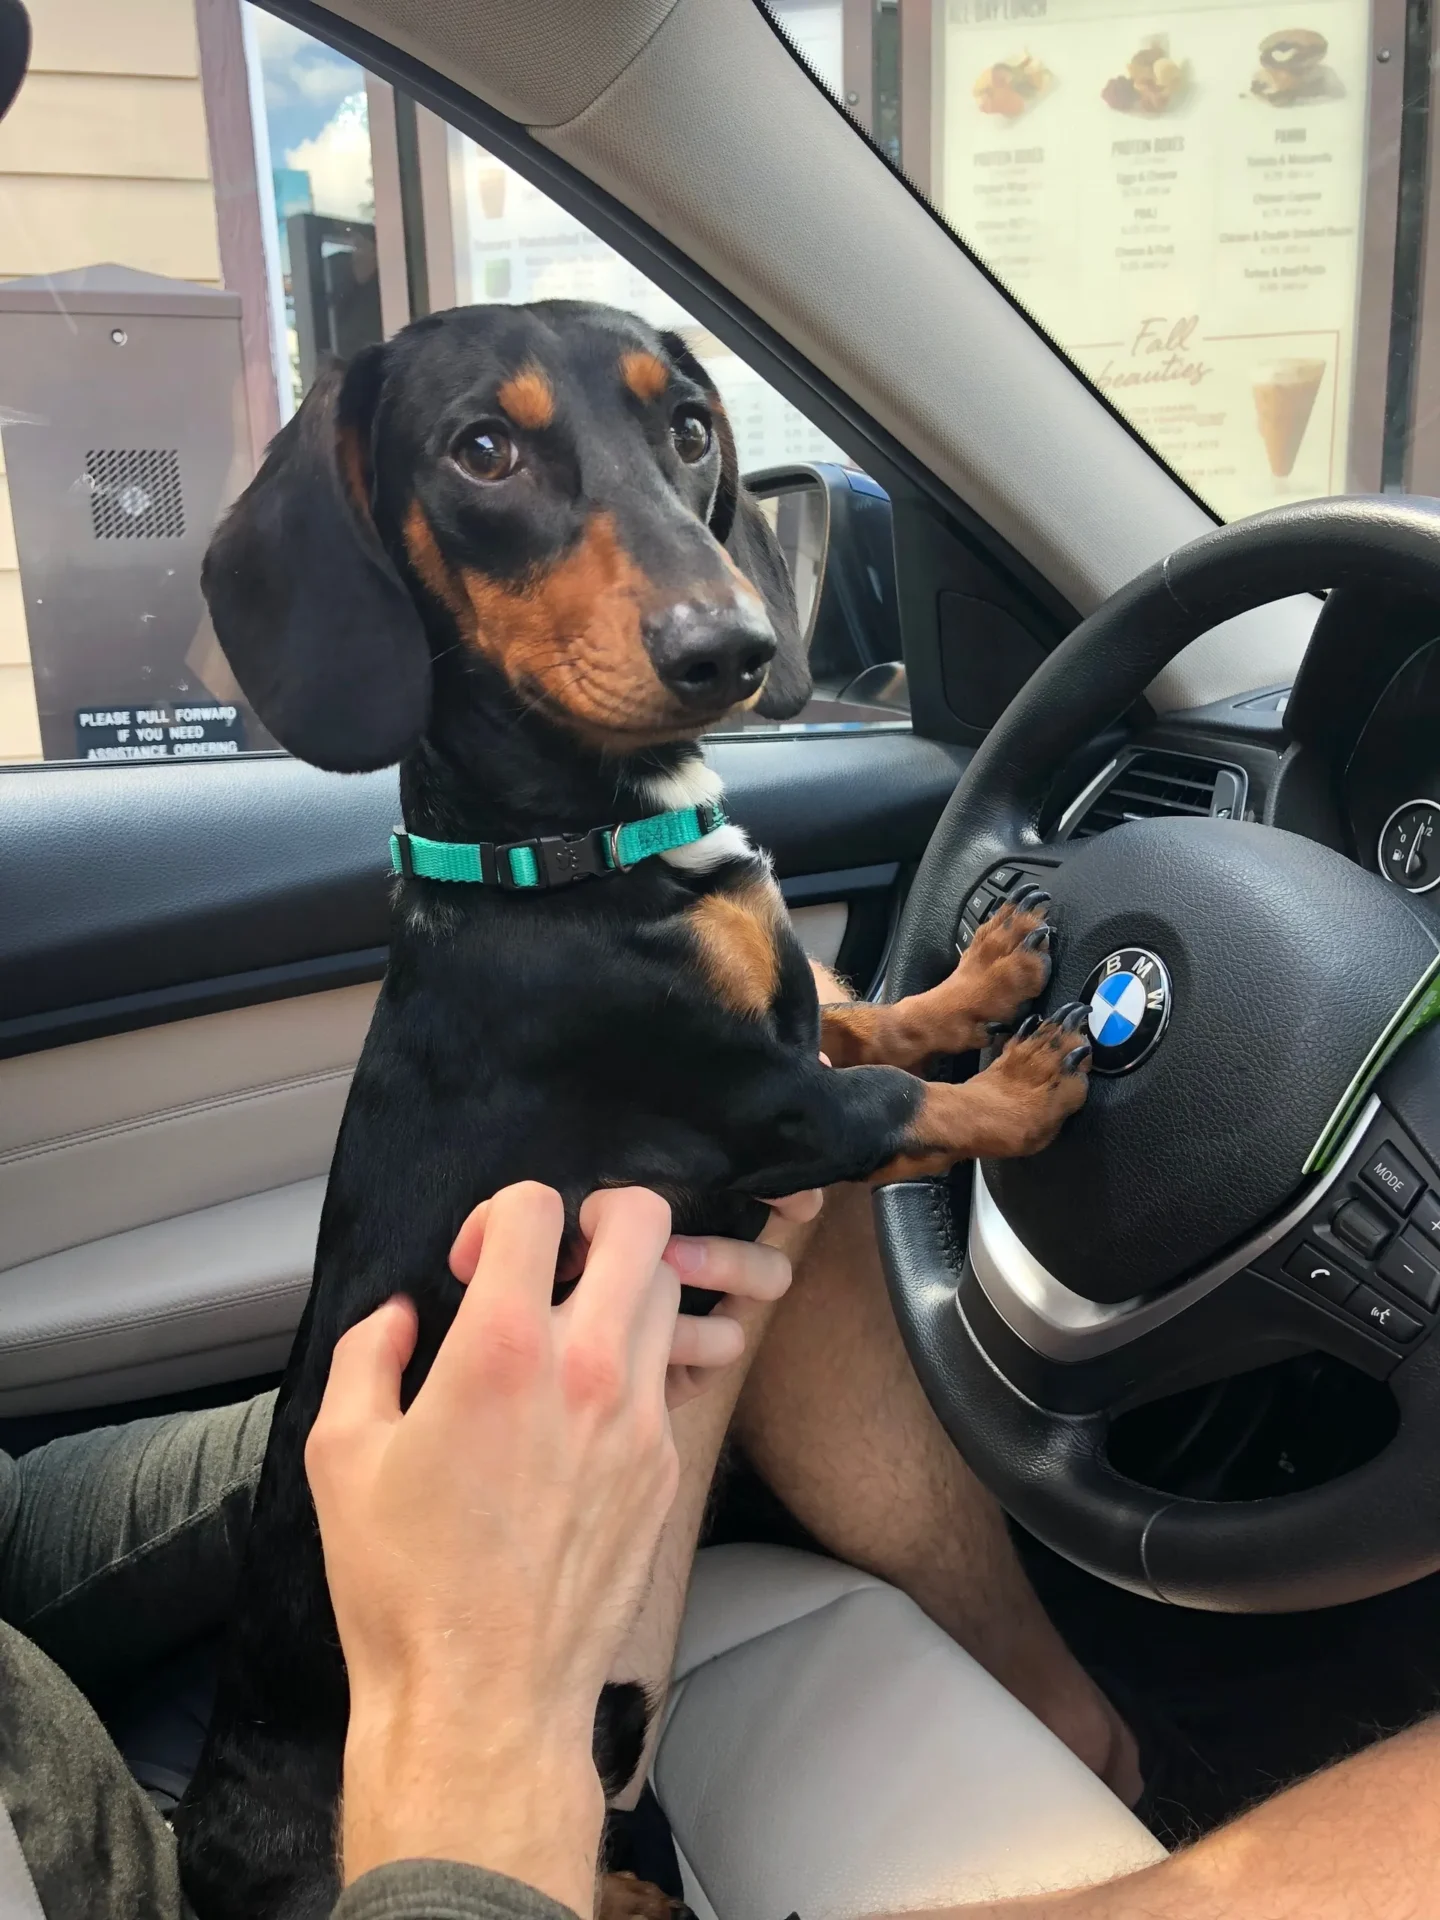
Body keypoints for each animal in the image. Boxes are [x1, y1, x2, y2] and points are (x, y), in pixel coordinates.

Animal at [171, 299, 1090, 1920]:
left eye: (690, 427)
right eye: (484, 448)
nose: (731, 648)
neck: (557, 855)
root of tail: (196, 1848)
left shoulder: (791, 1024)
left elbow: (871, 1016)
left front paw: (983, 973)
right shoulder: (761, 1110)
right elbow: (894, 1094)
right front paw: (1031, 1081)